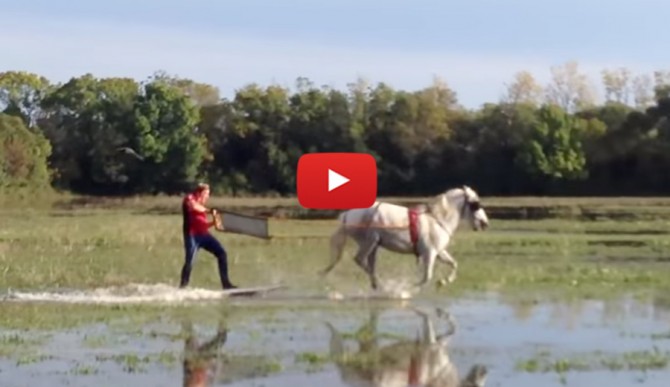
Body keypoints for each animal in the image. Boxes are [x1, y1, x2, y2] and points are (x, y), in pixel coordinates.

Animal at [320, 186, 488, 292]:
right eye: (475, 204)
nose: (485, 223)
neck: (436, 220)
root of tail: (347, 214)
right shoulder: (430, 253)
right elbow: (426, 277)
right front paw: (408, 290)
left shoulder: (439, 252)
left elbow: (454, 264)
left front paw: (443, 282)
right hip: (369, 242)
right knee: (360, 260)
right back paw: (382, 285)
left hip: (374, 245)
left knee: (369, 265)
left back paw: (377, 285)